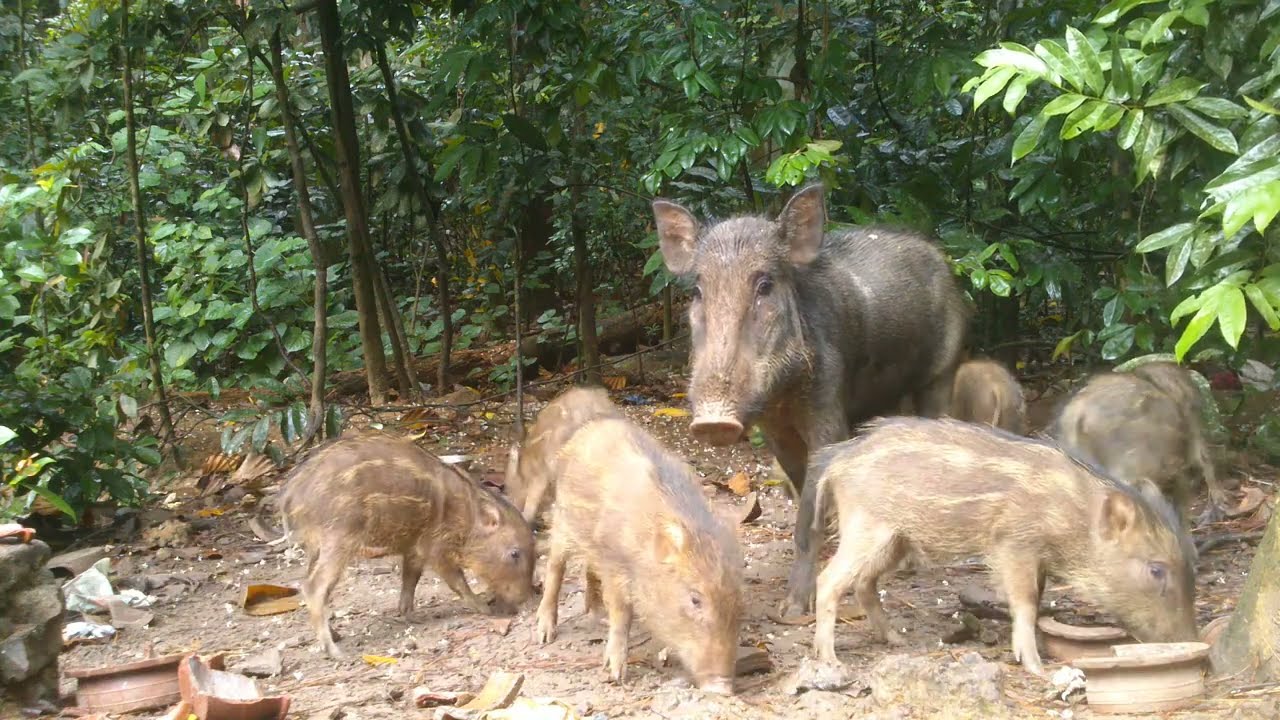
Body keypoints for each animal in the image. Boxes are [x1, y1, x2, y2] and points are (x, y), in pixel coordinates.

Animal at [280, 433, 535, 657]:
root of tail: (290, 496)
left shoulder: (415, 548)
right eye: (515, 553)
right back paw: (334, 651)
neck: (465, 518)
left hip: (317, 544)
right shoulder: (437, 547)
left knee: (307, 583)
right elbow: (457, 581)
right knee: (314, 586)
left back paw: (336, 635)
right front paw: (485, 609)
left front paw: (410, 615)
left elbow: (410, 579)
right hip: (339, 537)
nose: (525, 601)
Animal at [534, 417, 743, 693]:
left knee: (589, 570)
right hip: (563, 522)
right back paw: (545, 633)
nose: (723, 689)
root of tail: (591, 427)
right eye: (695, 599)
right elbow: (623, 613)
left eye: (738, 600)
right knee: (555, 568)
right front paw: (614, 675)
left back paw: (597, 616)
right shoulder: (615, 565)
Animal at [652, 183, 970, 615]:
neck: (784, 398)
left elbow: (807, 514)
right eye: (699, 290)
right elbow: (803, 489)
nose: (714, 422)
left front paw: (792, 611)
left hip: (941, 374)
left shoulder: (827, 414)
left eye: (765, 285)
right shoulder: (776, 432)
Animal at [807, 417, 1198, 675]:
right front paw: (1036, 667)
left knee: (864, 582)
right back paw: (830, 659)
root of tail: (836, 462)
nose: (1192, 641)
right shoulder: (1014, 543)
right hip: (869, 528)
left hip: (896, 541)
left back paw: (895, 641)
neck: (1072, 514)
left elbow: (1037, 600)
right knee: (829, 579)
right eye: (1156, 569)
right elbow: (1025, 602)